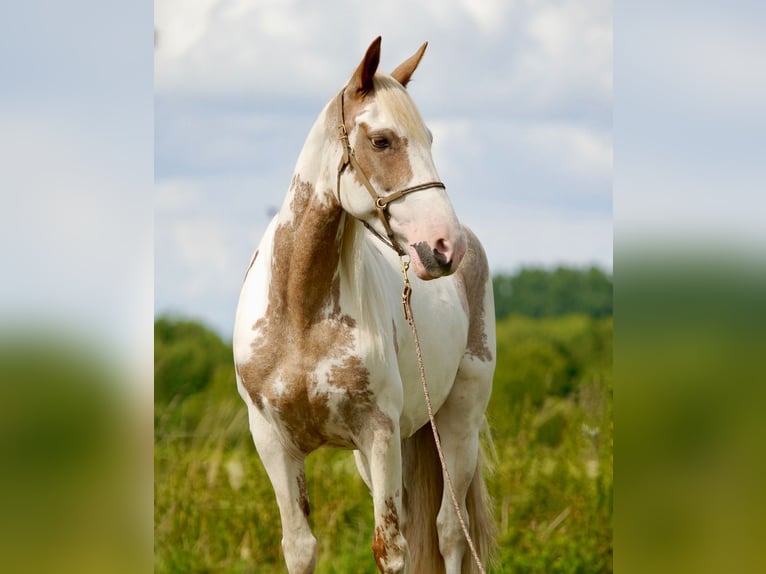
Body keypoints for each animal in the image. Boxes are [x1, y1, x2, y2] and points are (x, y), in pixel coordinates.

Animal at [234, 38, 498, 572]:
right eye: (381, 141)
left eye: (430, 139)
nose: (446, 247)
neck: (301, 315)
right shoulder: (274, 443)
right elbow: (300, 547)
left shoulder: (378, 432)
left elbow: (390, 548)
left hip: (458, 423)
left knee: (448, 531)